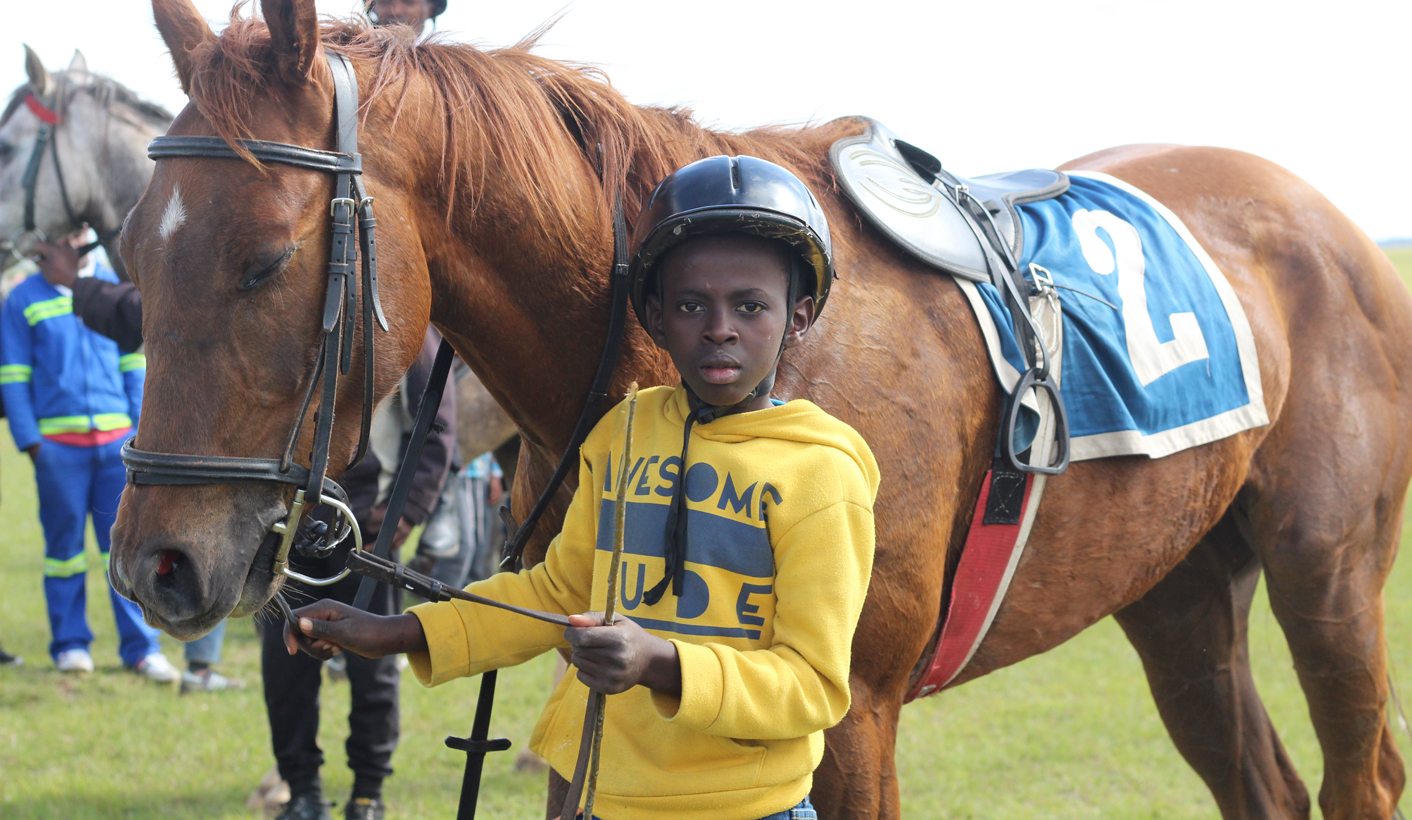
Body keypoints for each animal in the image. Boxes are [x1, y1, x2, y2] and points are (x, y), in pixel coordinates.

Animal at [110, 1, 1412, 816]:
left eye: (265, 261)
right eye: (127, 254)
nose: (154, 566)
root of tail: (1327, 221)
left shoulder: (852, 711)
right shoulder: (592, 672)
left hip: (1327, 577)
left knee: (1356, 777)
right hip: (1178, 592)